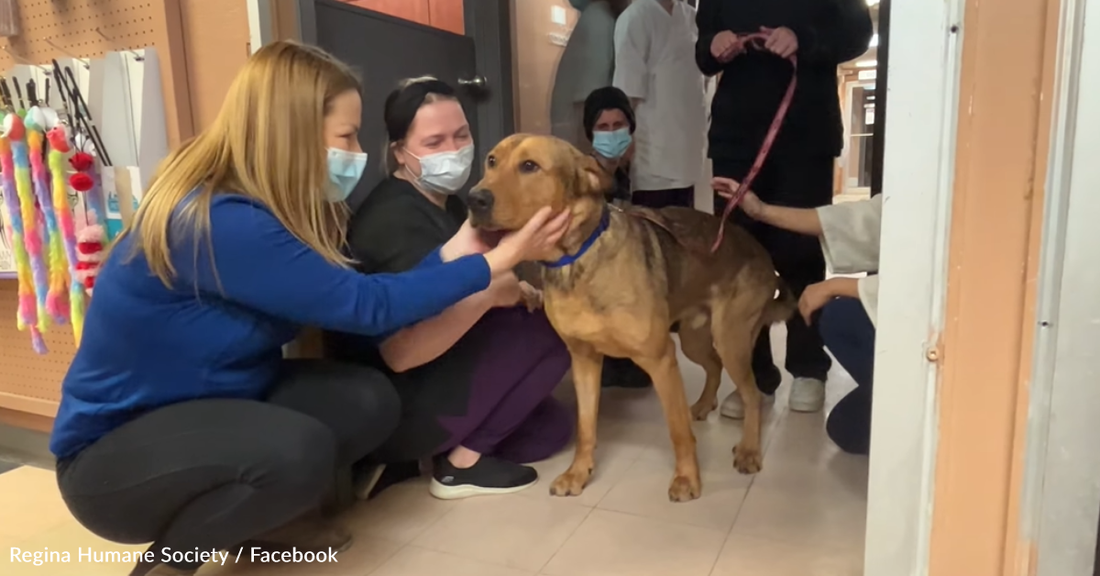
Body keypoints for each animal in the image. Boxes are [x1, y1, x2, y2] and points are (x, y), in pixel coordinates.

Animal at [464, 134, 792, 499]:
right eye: (491, 161)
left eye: (529, 166)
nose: (474, 199)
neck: (576, 258)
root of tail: (763, 254)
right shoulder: (584, 360)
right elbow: (586, 427)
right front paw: (578, 473)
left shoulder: (661, 359)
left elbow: (677, 430)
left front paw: (687, 479)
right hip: (693, 338)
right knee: (714, 366)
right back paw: (703, 405)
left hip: (730, 339)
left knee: (751, 395)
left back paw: (749, 449)